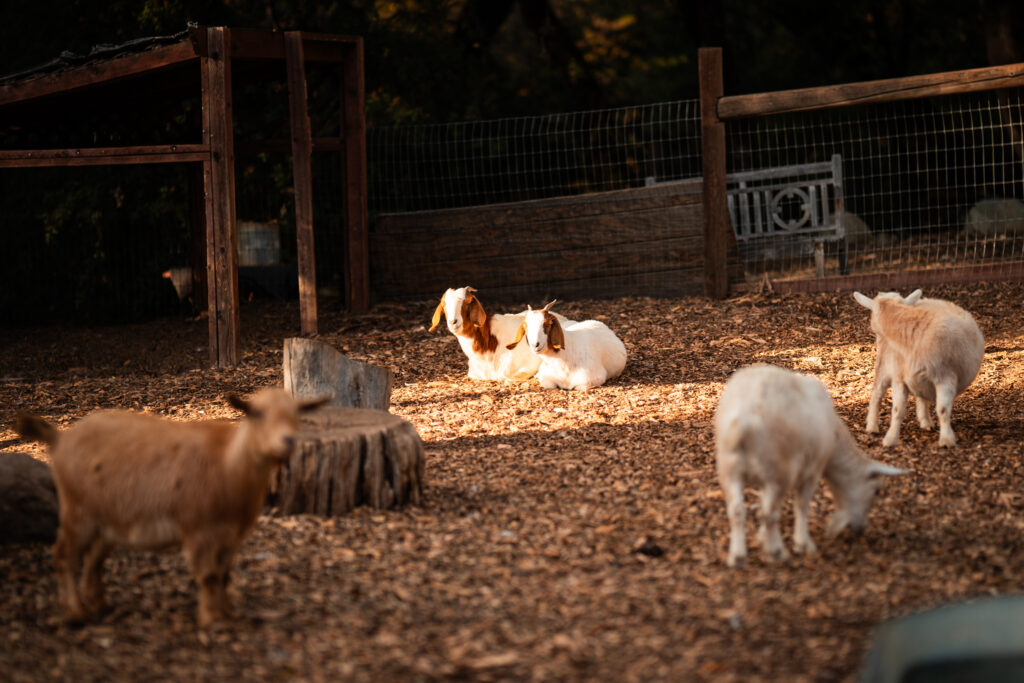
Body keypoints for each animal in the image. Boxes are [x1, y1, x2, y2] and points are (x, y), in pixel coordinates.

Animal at [16, 387, 327, 626]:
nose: (288, 440)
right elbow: (209, 575)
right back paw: (76, 613)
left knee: (94, 558)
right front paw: (212, 619)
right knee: (64, 556)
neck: (228, 464)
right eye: (257, 414)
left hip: (109, 517)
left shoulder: (232, 534)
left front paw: (227, 613)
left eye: (297, 414)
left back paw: (100, 605)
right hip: (77, 509)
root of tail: (60, 438)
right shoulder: (199, 529)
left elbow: (224, 574)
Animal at [712, 366, 905, 569]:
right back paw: (776, 552)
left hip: (729, 468)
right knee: (768, 513)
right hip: (779, 471)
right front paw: (802, 543)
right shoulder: (812, 470)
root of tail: (746, 418)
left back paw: (738, 556)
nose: (860, 529)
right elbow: (801, 505)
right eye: (876, 490)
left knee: (737, 511)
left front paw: (762, 537)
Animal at [851, 288, 987, 448]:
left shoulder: (945, 377)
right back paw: (872, 426)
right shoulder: (899, 378)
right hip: (884, 363)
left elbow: (942, 409)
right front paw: (891, 439)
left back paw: (926, 421)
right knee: (877, 393)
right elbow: (897, 410)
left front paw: (946, 439)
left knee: (921, 396)